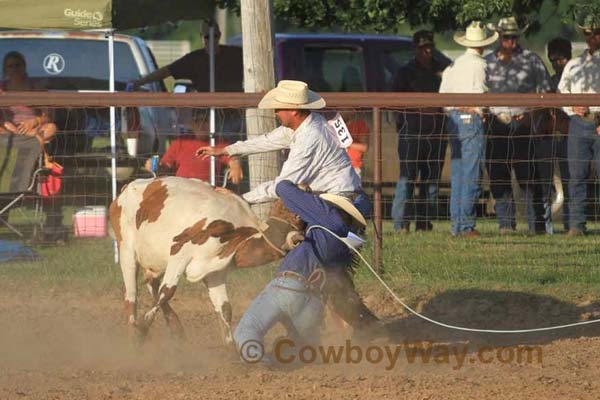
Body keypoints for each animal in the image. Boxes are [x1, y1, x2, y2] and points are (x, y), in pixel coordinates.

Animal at [109, 177, 304, 344]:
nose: (303, 186)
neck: (235, 235)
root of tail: (125, 190)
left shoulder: (215, 270)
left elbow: (224, 308)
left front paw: (231, 350)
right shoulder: (179, 253)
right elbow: (167, 292)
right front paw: (142, 329)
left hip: (154, 260)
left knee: (151, 282)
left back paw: (175, 327)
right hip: (127, 252)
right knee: (131, 297)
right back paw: (134, 333)